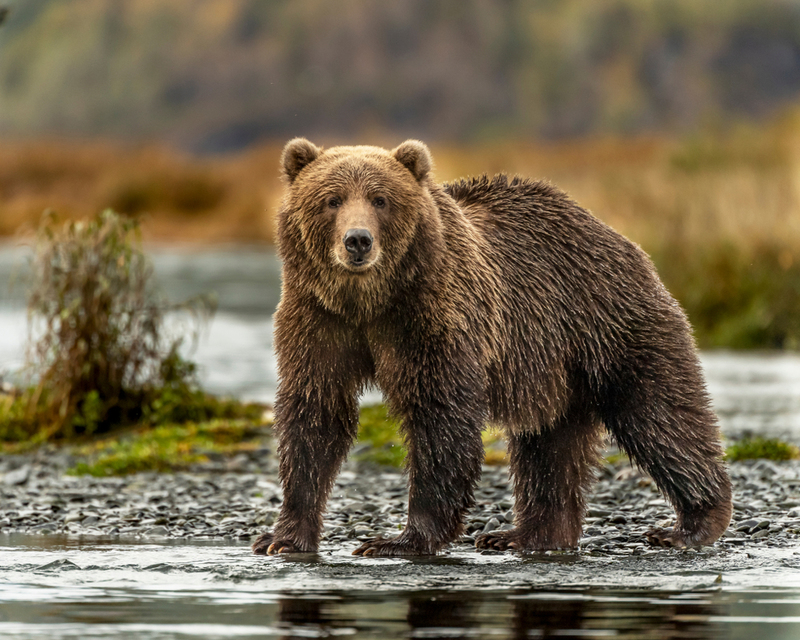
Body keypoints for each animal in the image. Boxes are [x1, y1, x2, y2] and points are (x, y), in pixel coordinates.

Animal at [252, 139, 732, 556]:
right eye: (331, 199)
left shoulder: (432, 317)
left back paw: (689, 524)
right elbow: (316, 414)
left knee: (659, 414)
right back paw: (525, 534)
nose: (357, 240)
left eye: (381, 199)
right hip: (553, 367)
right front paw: (282, 538)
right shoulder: (318, 319)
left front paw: (399, 540)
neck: (369, 301)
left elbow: (440, 415)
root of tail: (616, 236)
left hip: (608, 322)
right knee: (548, 445)